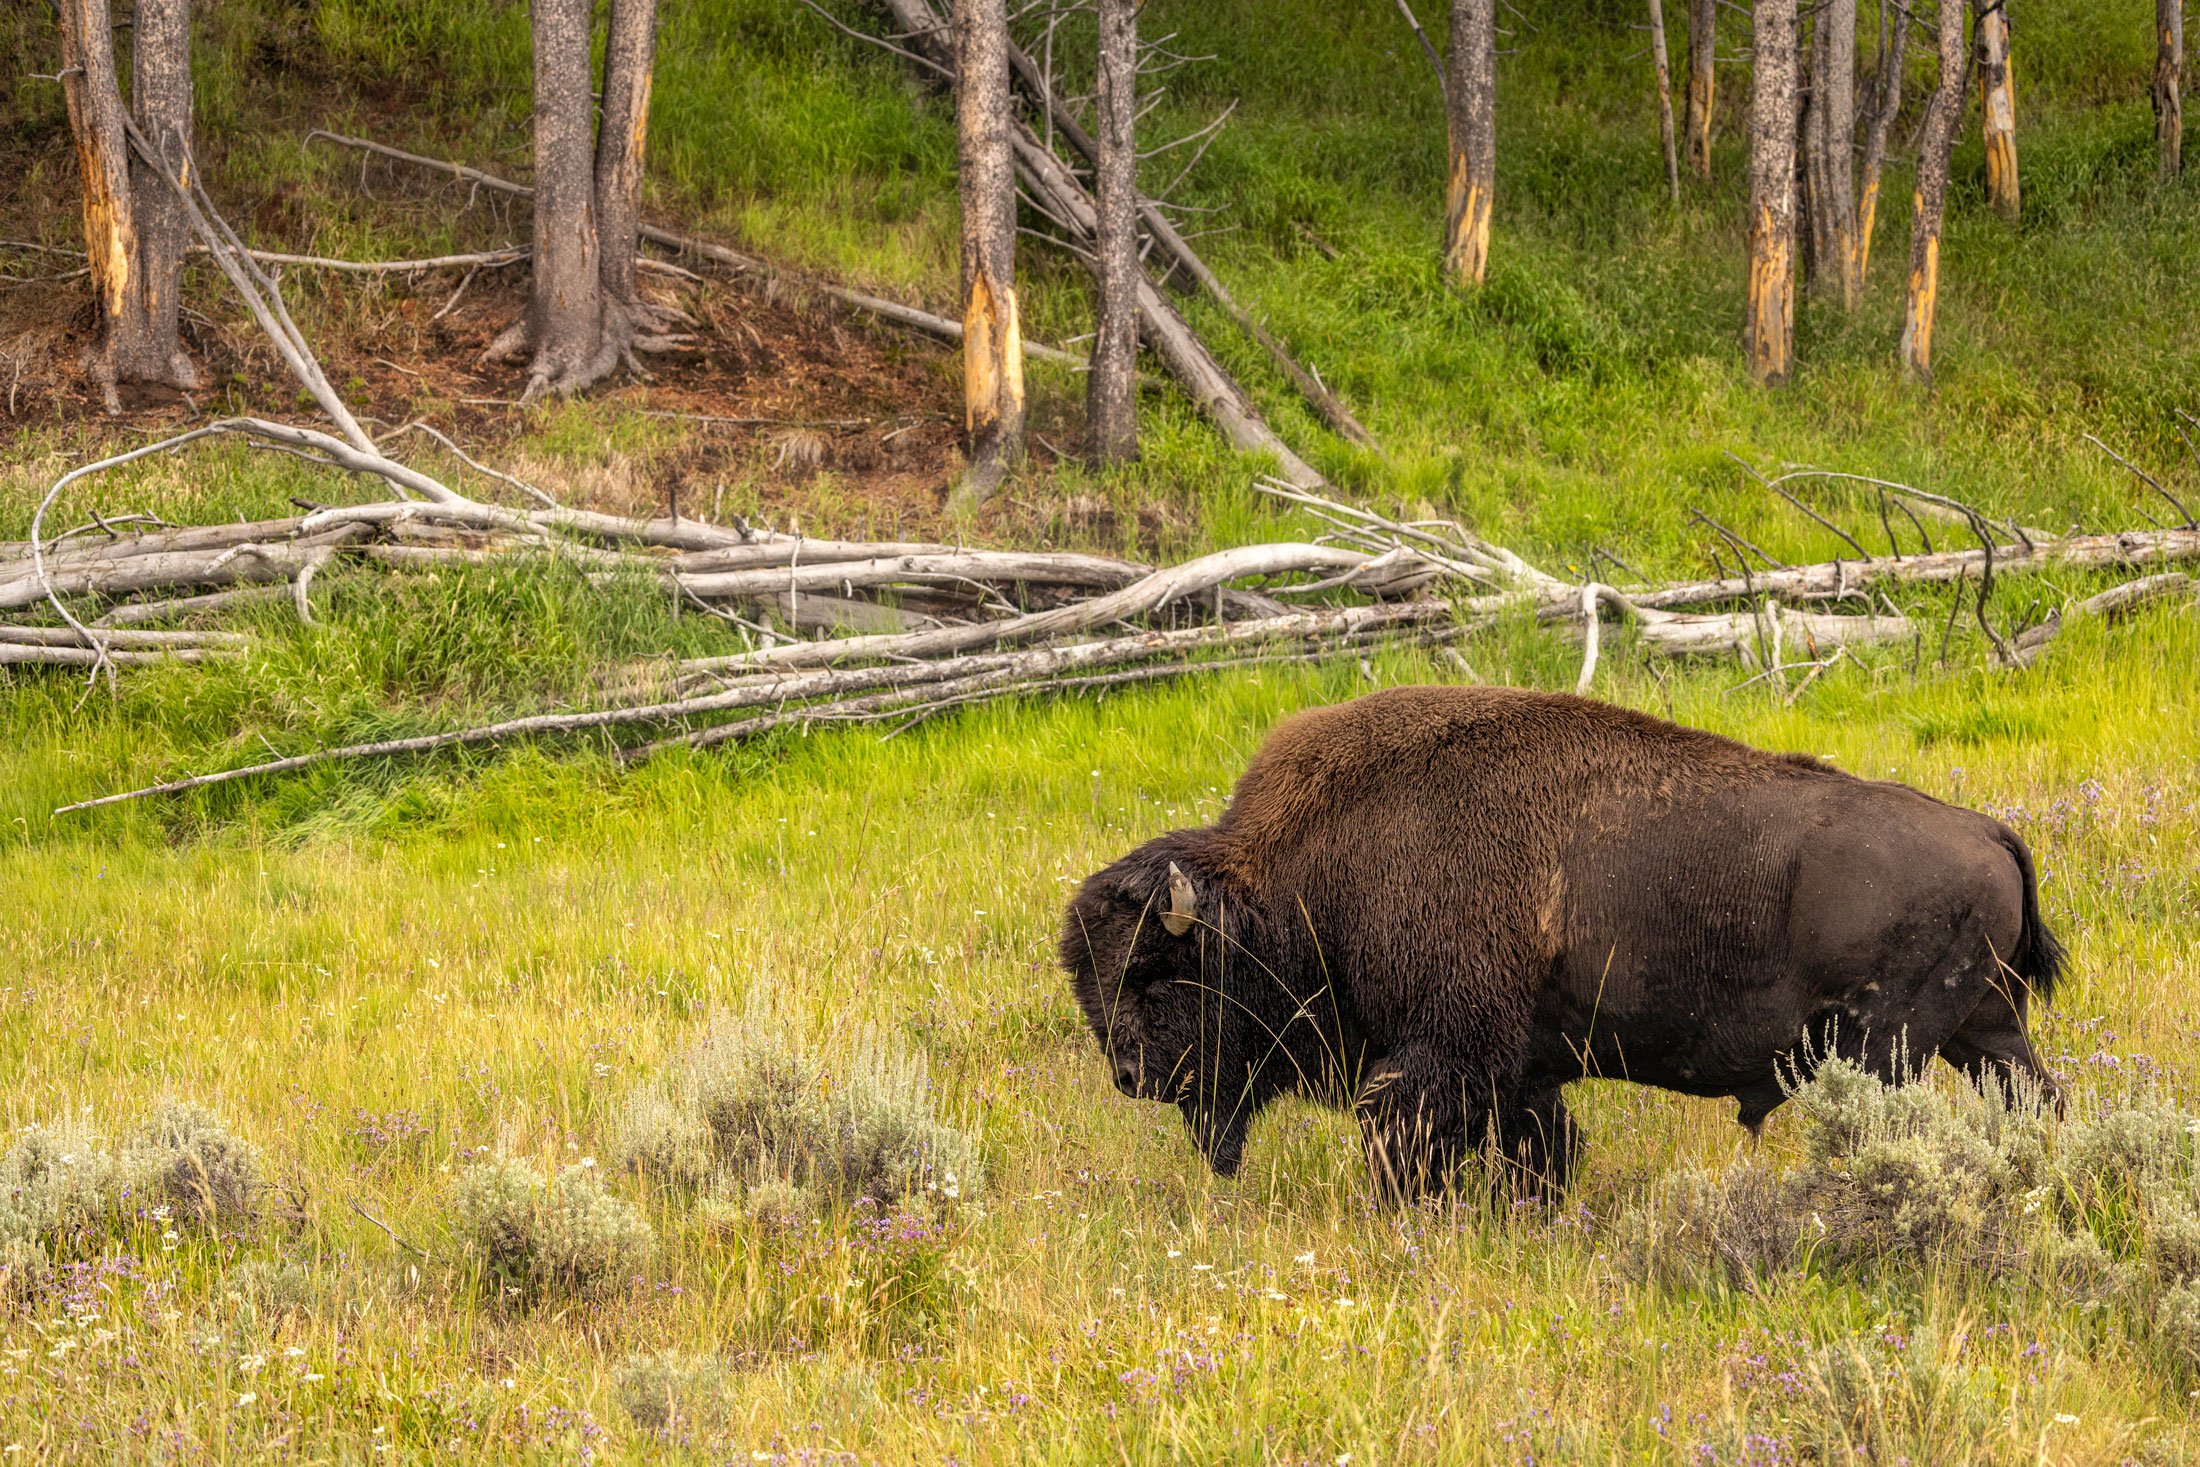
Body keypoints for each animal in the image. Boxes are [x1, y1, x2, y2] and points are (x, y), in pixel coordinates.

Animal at [1064, 681, 2059, 1196]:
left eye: (1156, 972)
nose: (1130, 1075)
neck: (1300, 877)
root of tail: (1988, 831)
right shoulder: (1521, 1068)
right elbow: (1541, 1147)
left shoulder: (1446, 1053)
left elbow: (1406, 1137)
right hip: (1985, 1030)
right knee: (2037, 1098)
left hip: (1889, 1045)